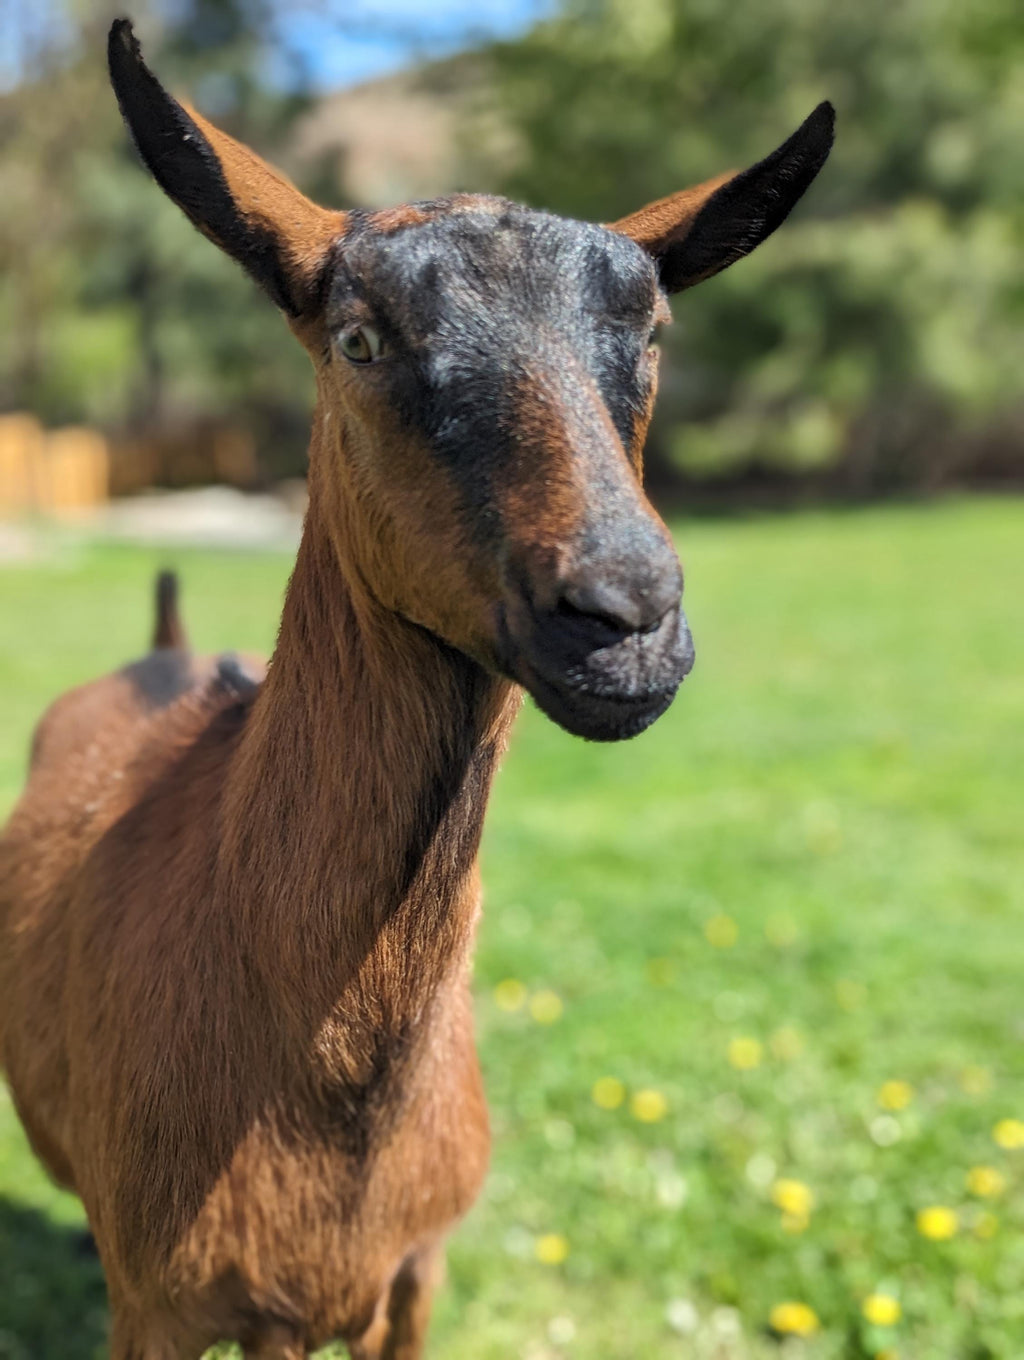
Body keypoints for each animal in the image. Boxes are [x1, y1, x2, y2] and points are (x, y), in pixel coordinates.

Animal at [0, 19, 834, 1359]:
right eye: (359, 337)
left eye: (651, 335)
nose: (625, 618)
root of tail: (164, 641)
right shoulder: (166, 1309)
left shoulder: (414, 1276)